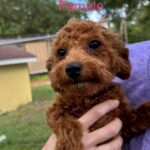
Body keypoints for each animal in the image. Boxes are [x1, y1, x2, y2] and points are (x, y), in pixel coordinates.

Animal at [46, 19, 150, 150]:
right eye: (61, 52)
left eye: (94, 44)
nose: (72, 68)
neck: (88, 98)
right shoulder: (55, 109)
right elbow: (63, 120)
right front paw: (69, 145)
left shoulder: (122, 123)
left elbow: (139, 114)